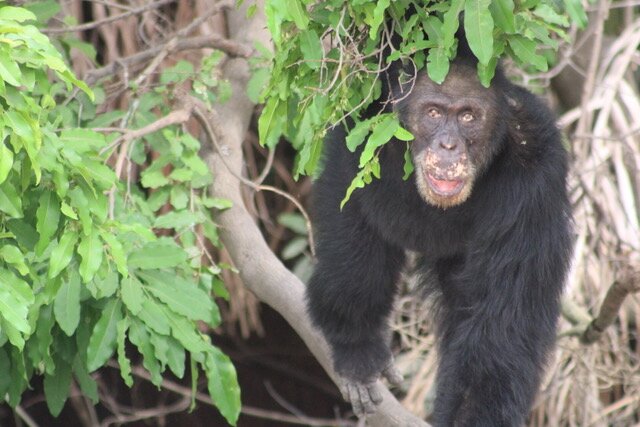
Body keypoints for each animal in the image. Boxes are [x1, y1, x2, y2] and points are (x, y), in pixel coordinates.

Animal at [304, 41, 576, 426]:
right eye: (433, 112)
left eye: (468, 116)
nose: (448, 145)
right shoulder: (365, 136)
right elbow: (357, 230)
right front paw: (357, 348)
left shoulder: (534, 178)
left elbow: (497, 328)